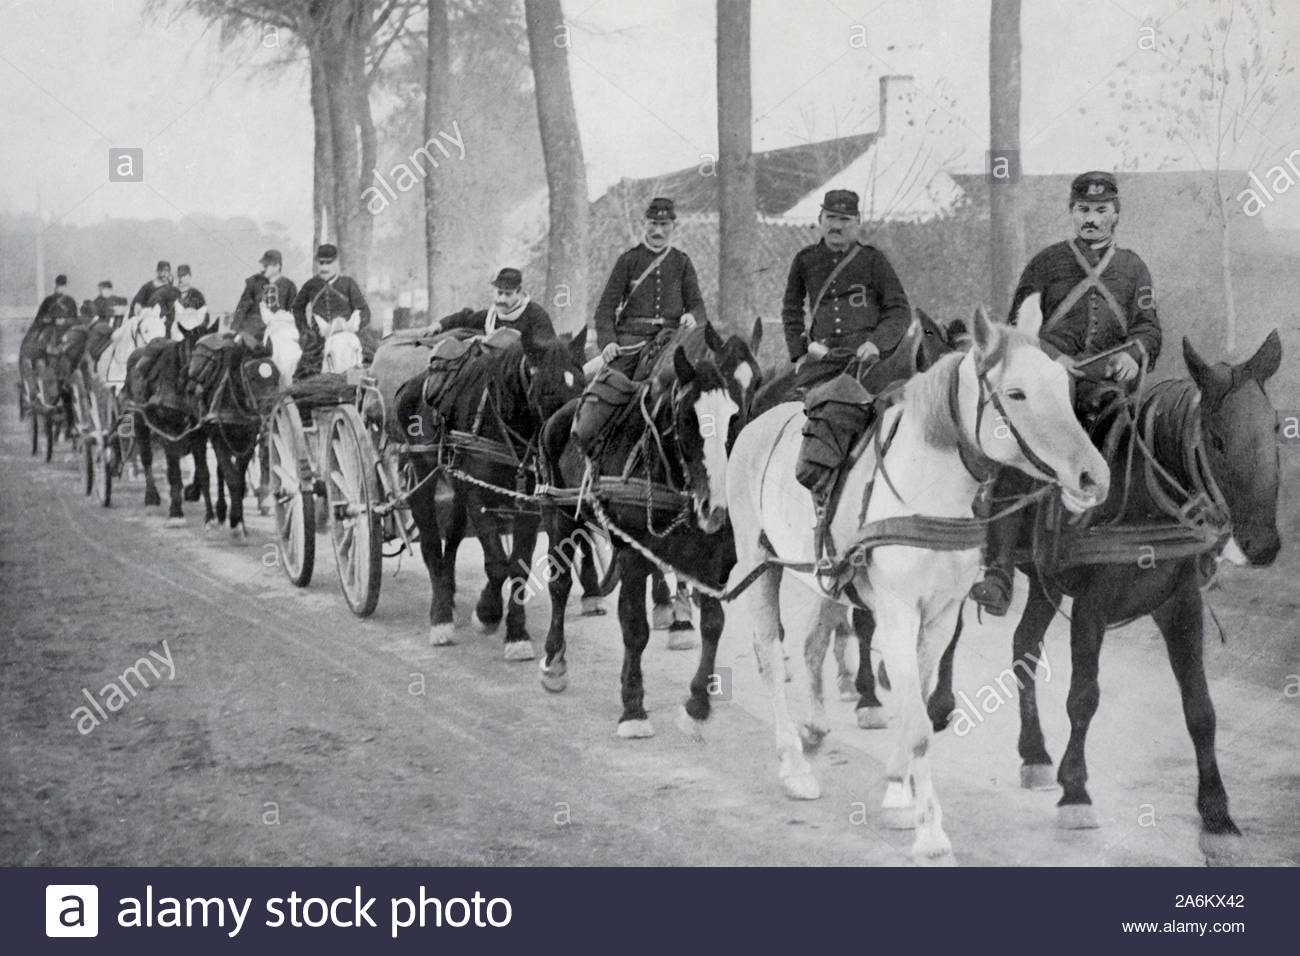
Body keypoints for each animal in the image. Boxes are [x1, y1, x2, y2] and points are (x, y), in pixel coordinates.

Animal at [390, 330, 585, 658]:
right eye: (546, 390)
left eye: (583, 384)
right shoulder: (478, 496)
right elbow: (496, 564)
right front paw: (487, 613)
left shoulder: (527, 505)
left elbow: (517, 565)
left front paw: (516, 634)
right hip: (422, 472)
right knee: (431, 544)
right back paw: (440, 617)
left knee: (452, 538)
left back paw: (449, 595)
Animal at [538, 323, 759, 738]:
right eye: (688, 418)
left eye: (734, 413)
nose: (715, 507)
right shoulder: (632, 554)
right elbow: (634, 627)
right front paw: (633, 707)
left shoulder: (713, 561)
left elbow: (714, 624)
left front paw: (697, 702)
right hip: (559, 516)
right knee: (559, 586)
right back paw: (554, 661)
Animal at [722, 310, 1107, 863]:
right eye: (1016, 394)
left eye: (1063, 385)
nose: (1093, 477)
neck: (927, 491)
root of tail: (760, 422)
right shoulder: (899, 614)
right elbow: (921, 725)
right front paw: (929, 832)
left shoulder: (941, 617)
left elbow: (916, 709)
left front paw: (898, 794)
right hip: (760, 563)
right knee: (771, 656)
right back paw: (794, 766)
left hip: (825, 577)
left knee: (813, 645)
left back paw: (815, 730)